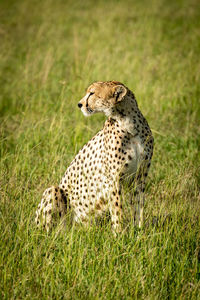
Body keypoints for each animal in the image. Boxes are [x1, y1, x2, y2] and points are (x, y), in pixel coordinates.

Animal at [35, 81, 154, 233]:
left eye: (92, 93)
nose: (79, 104)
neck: (129, 125)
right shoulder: (114, 180)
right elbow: (117, 209)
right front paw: (120, 235)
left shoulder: (140, 176)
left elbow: (139, 206)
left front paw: (139, 231)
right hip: (53, 193)